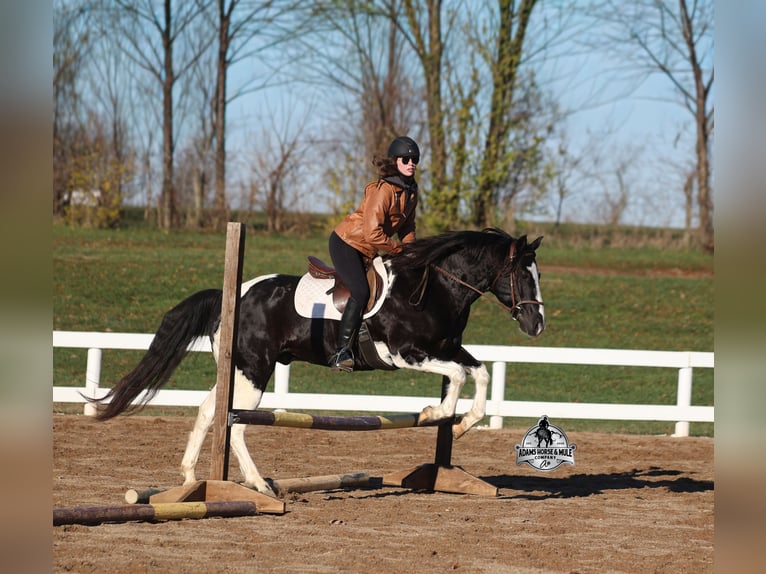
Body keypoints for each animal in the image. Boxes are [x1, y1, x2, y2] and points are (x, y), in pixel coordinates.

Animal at [91, 228, 545, 495]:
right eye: (523, 274)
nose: (536, 324)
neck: (430, 287)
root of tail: (231, 296)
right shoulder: (404, 353)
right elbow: (458, 376)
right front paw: (439, 412)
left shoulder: (447, 348)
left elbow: (478, 373)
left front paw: (465, 424)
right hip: (254, 371)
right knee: (237, 424)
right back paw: (257, 484)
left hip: (238, 370)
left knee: (208, 410)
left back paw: (189, 478)